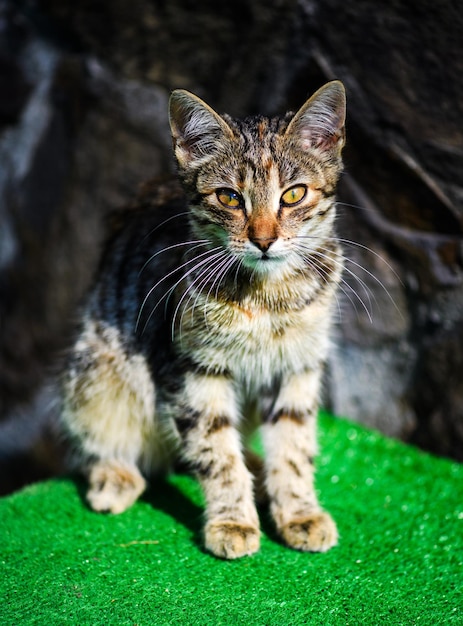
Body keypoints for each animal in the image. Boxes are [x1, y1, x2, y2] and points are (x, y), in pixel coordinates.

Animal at [59, 79, 346, 556]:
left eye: (293, 194)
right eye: (229, 197)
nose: (263, 240)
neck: (267, 297)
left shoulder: (297, 366)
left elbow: (293, 446)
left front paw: (299, 512)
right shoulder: (193, 368)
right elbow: (215, 451)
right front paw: (232, 521)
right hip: (95, 370)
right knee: (98, 438)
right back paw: (114, 476)